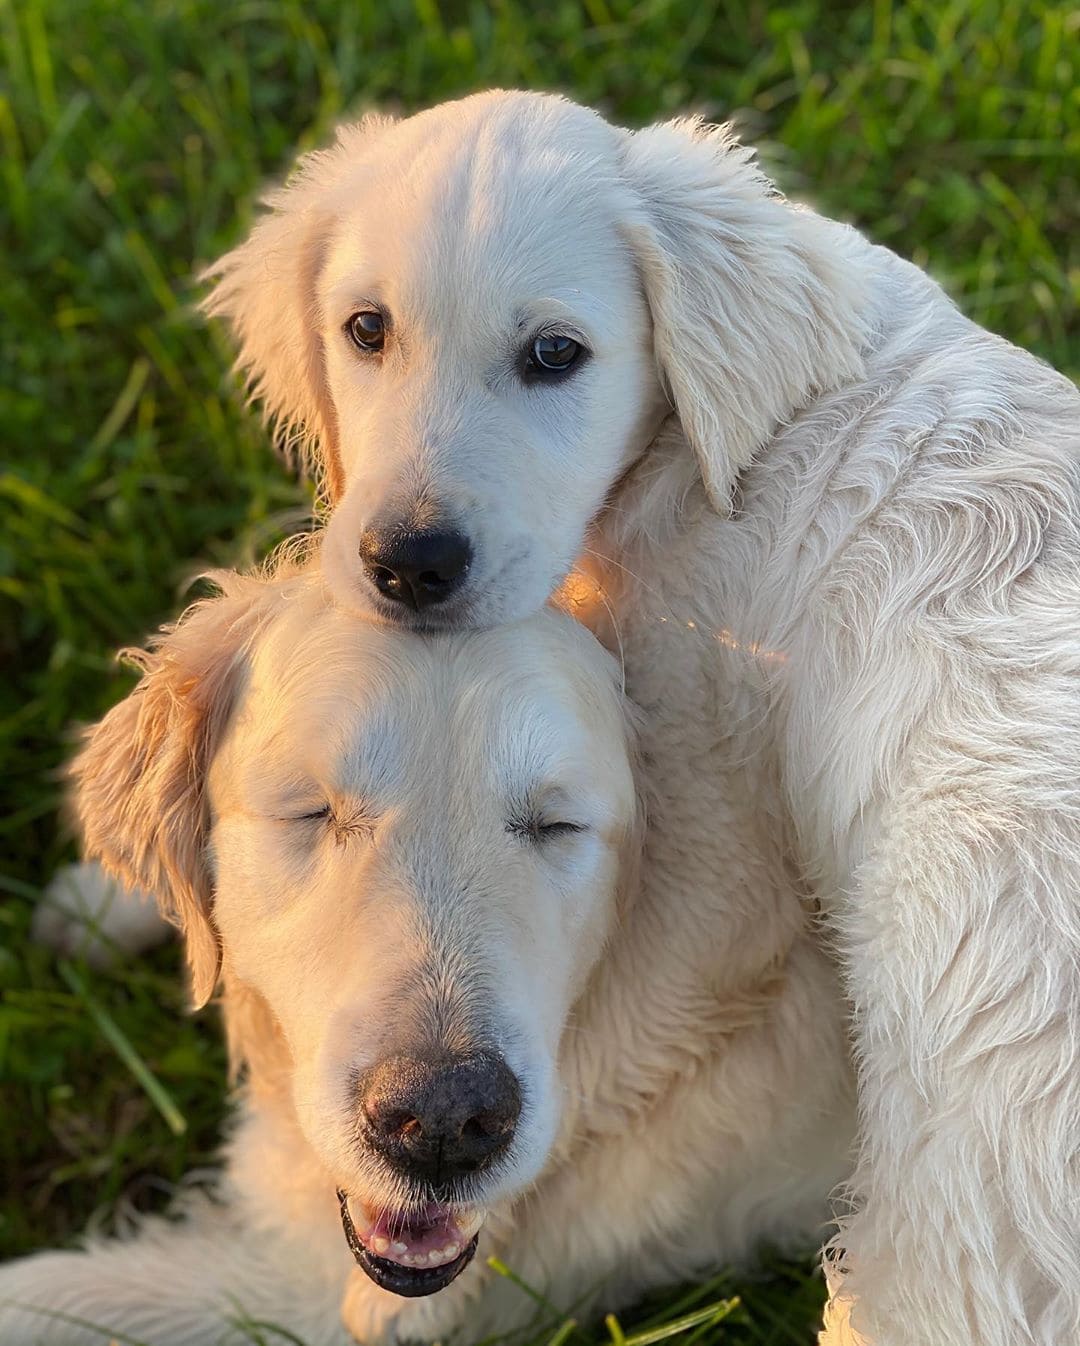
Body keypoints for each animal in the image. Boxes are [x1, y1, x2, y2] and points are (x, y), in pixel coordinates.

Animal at [4, 551, 845, 1340]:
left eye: (556, 825)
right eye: (313, 812)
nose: (442, 1121)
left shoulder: (315, 1303)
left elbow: (48, 1298)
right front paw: (96, 902)